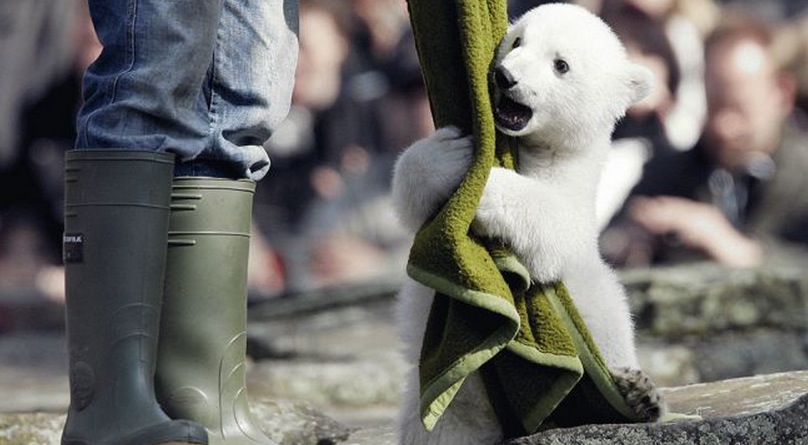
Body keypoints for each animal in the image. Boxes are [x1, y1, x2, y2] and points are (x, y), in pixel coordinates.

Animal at [392, 3, 666, 445]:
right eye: (517, 40)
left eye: (561, 64)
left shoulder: (575, 204)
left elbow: (553, 227)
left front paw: (485, 183)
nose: (505, 76)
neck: (538, 149)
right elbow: (413, 200)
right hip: (450, 411)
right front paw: (451, 155)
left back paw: (638, 395)